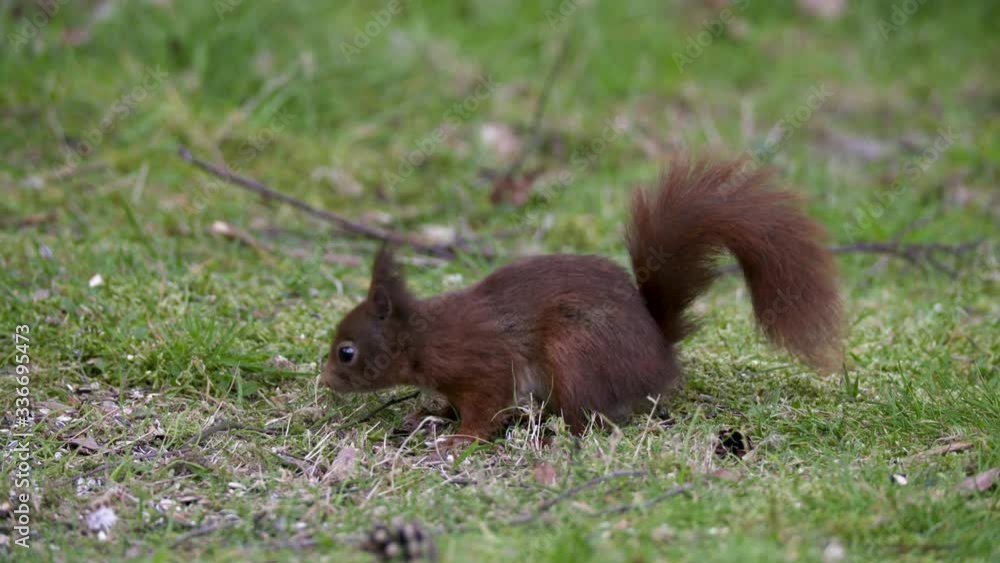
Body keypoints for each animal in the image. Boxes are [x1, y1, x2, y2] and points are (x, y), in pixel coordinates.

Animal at [322, 158, 842, 447]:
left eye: (347, 352)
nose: (326, 379)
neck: (423, 337)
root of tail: (659, 354)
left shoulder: (481, 363)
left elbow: (486, 407)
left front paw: (458, 437)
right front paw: (428, 415)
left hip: (575, 350)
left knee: (586, 417)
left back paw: (552, 432)